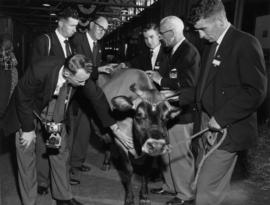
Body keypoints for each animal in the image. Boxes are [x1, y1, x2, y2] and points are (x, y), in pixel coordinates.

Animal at [97, 69, 181, 205]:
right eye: (139, 114)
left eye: (166, 117)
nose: (156, 145)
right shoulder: (120, 142)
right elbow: (128, 170)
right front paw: (129, 198)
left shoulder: (150, 151)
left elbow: (145, 170)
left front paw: (144, 195)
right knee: (107, 142)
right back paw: (106, 163)